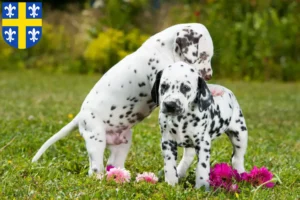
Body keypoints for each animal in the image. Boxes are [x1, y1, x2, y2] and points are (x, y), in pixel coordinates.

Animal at [32, 23, 220, 177]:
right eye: (204, 55)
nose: (209, 75)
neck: (163, 50)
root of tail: (80, 116)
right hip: (96, 139)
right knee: (95, 168)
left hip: (123, 142)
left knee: (113, 163)